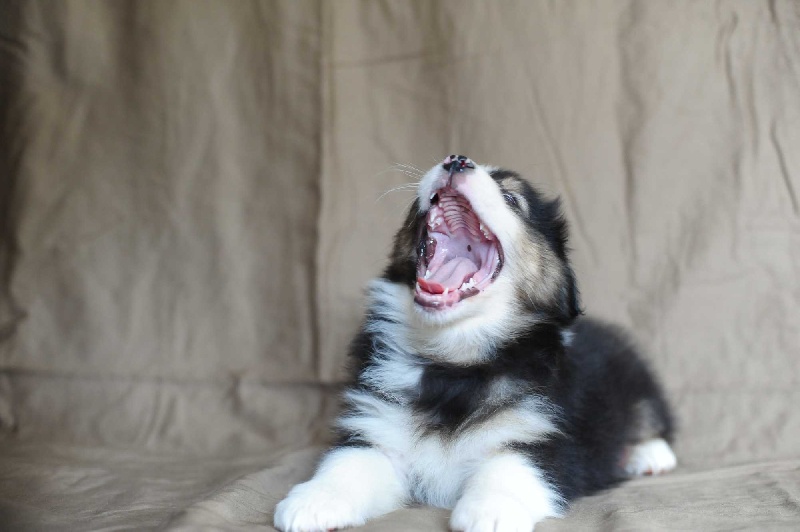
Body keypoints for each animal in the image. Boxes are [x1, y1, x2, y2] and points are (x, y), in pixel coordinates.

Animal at [276, 155, 676, 532]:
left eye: (512, 198)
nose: (456, 160)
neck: (454, 361)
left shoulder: (542, 440)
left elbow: (507, 468)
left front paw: (490, 513)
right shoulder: (378, 426)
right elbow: (347, 464)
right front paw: (311, 502)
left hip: (635, 380)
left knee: (651, 416)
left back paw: (649, 456)